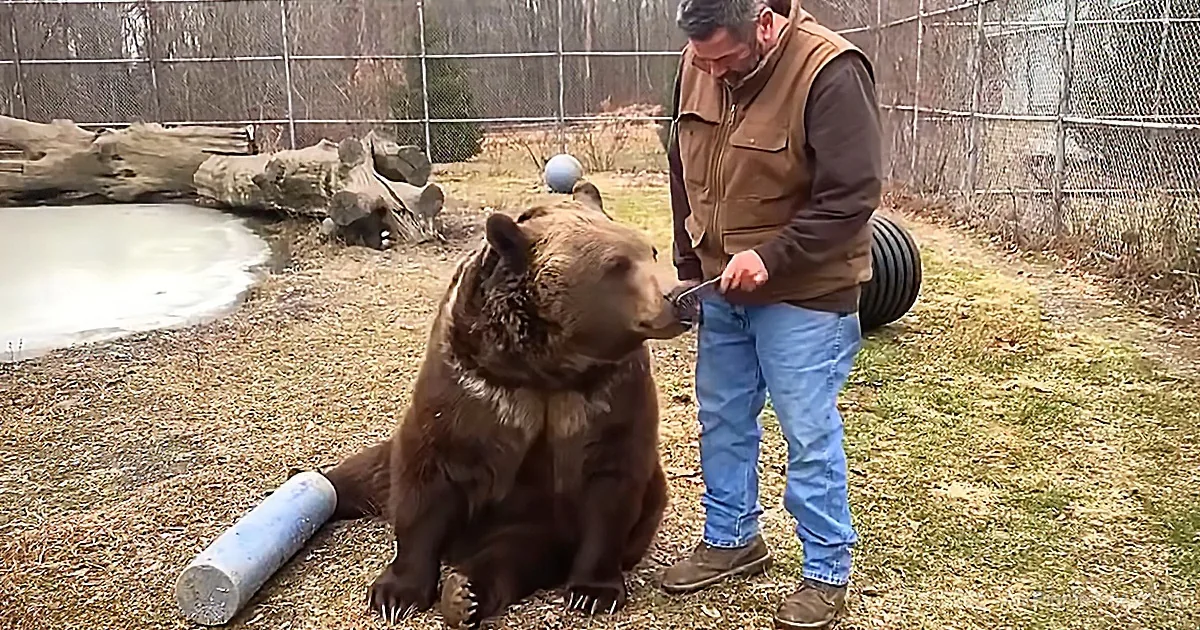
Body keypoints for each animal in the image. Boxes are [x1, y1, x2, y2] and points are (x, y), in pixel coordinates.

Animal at [321, 180, 690, 629]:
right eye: (616, 265)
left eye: (648, 251)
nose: (678, 296)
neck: (549, 368)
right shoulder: (471, 383)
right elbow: (426, 473)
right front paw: (397, 592)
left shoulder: (607, 395)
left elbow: (612, 484)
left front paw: (593, 591)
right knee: (363, 472)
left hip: (533, 526)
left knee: (511, 556)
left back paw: (466, 593)